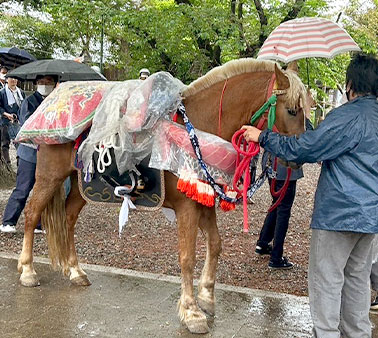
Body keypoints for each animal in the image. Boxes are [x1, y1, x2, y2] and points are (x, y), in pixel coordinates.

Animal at [17, 59, 308, 334]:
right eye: (292, 110)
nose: (297, 161)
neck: (198, 130)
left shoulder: (203, 203)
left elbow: (215, 245)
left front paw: (206, 297)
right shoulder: (187, 208)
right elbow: (187, 258)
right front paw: (191, 312)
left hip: (81, 187)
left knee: (67, 220)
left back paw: (75, 271)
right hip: (49, 176)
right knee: (31, 213)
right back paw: (28, 270)